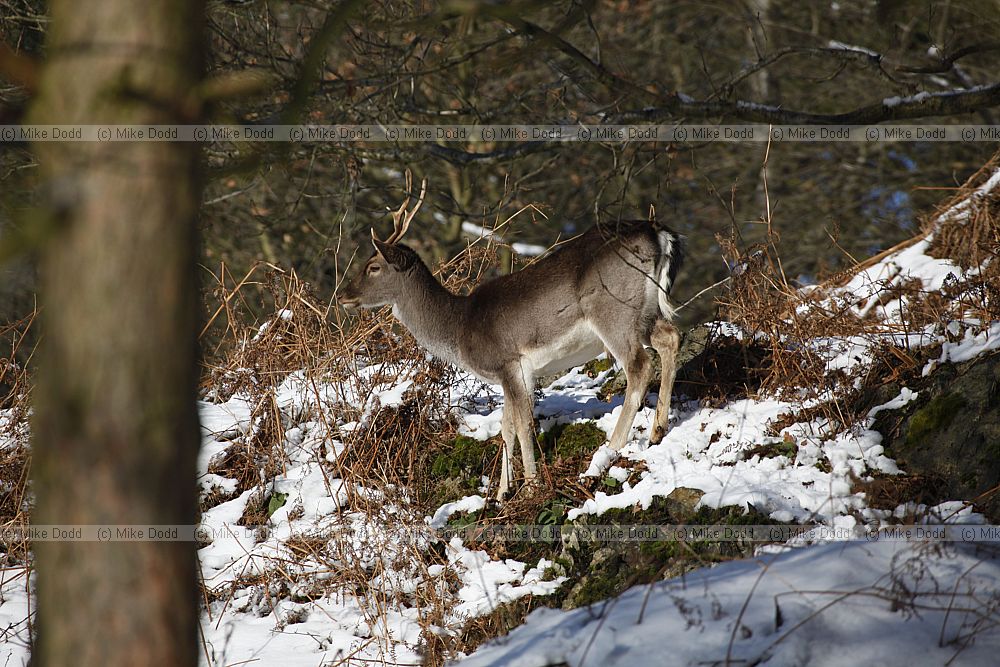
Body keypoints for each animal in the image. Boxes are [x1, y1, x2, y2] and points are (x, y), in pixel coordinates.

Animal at [338, 171, 683, 500]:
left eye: (373, 267)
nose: (343, 295)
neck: (459, 328)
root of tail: (658, 232)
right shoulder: (516, 373)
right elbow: (506, 429)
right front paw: (502, 492)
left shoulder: (509, 362)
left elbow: (523, 424)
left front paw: (530, 486)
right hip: (645, 312)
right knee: (670, 337)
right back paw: (657, 429)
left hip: (613, 311)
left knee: (639, 366)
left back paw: (609, 451)